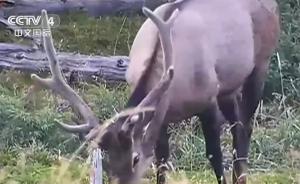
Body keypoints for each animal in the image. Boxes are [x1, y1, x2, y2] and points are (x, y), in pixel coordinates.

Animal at [31, 0, 280, 183]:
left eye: (135, 158)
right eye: (107, 160)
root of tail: (273, 4)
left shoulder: (208, 98)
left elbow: (214, 155)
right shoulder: (160, 117)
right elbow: (161, 159)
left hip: (261, 63)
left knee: (245, 127)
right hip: (228, 88)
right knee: (238, 125)